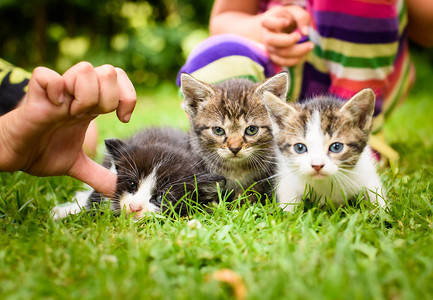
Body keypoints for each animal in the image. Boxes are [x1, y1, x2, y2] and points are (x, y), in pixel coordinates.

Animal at [181, 73, 288, 204]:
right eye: (218, 130)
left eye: (251, 130)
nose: (235, 148)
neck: (236, 168)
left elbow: (254, 189)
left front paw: (241, 201)